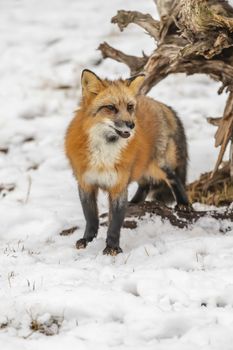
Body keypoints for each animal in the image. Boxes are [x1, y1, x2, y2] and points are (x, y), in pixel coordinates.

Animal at [64, 69, 188, 256]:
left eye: (129, 107)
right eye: (110, 108)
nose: (131, 124)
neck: (104, 152)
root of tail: (158, 102)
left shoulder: (118, 185)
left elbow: (115, 223)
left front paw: (112, 248)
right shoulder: (86, 183)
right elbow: (90, 217)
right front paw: (87, 240)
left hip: (157, 165)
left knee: (173, 178)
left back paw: (183, 204)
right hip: (142, 166)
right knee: (145, 185)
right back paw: (135, 203)